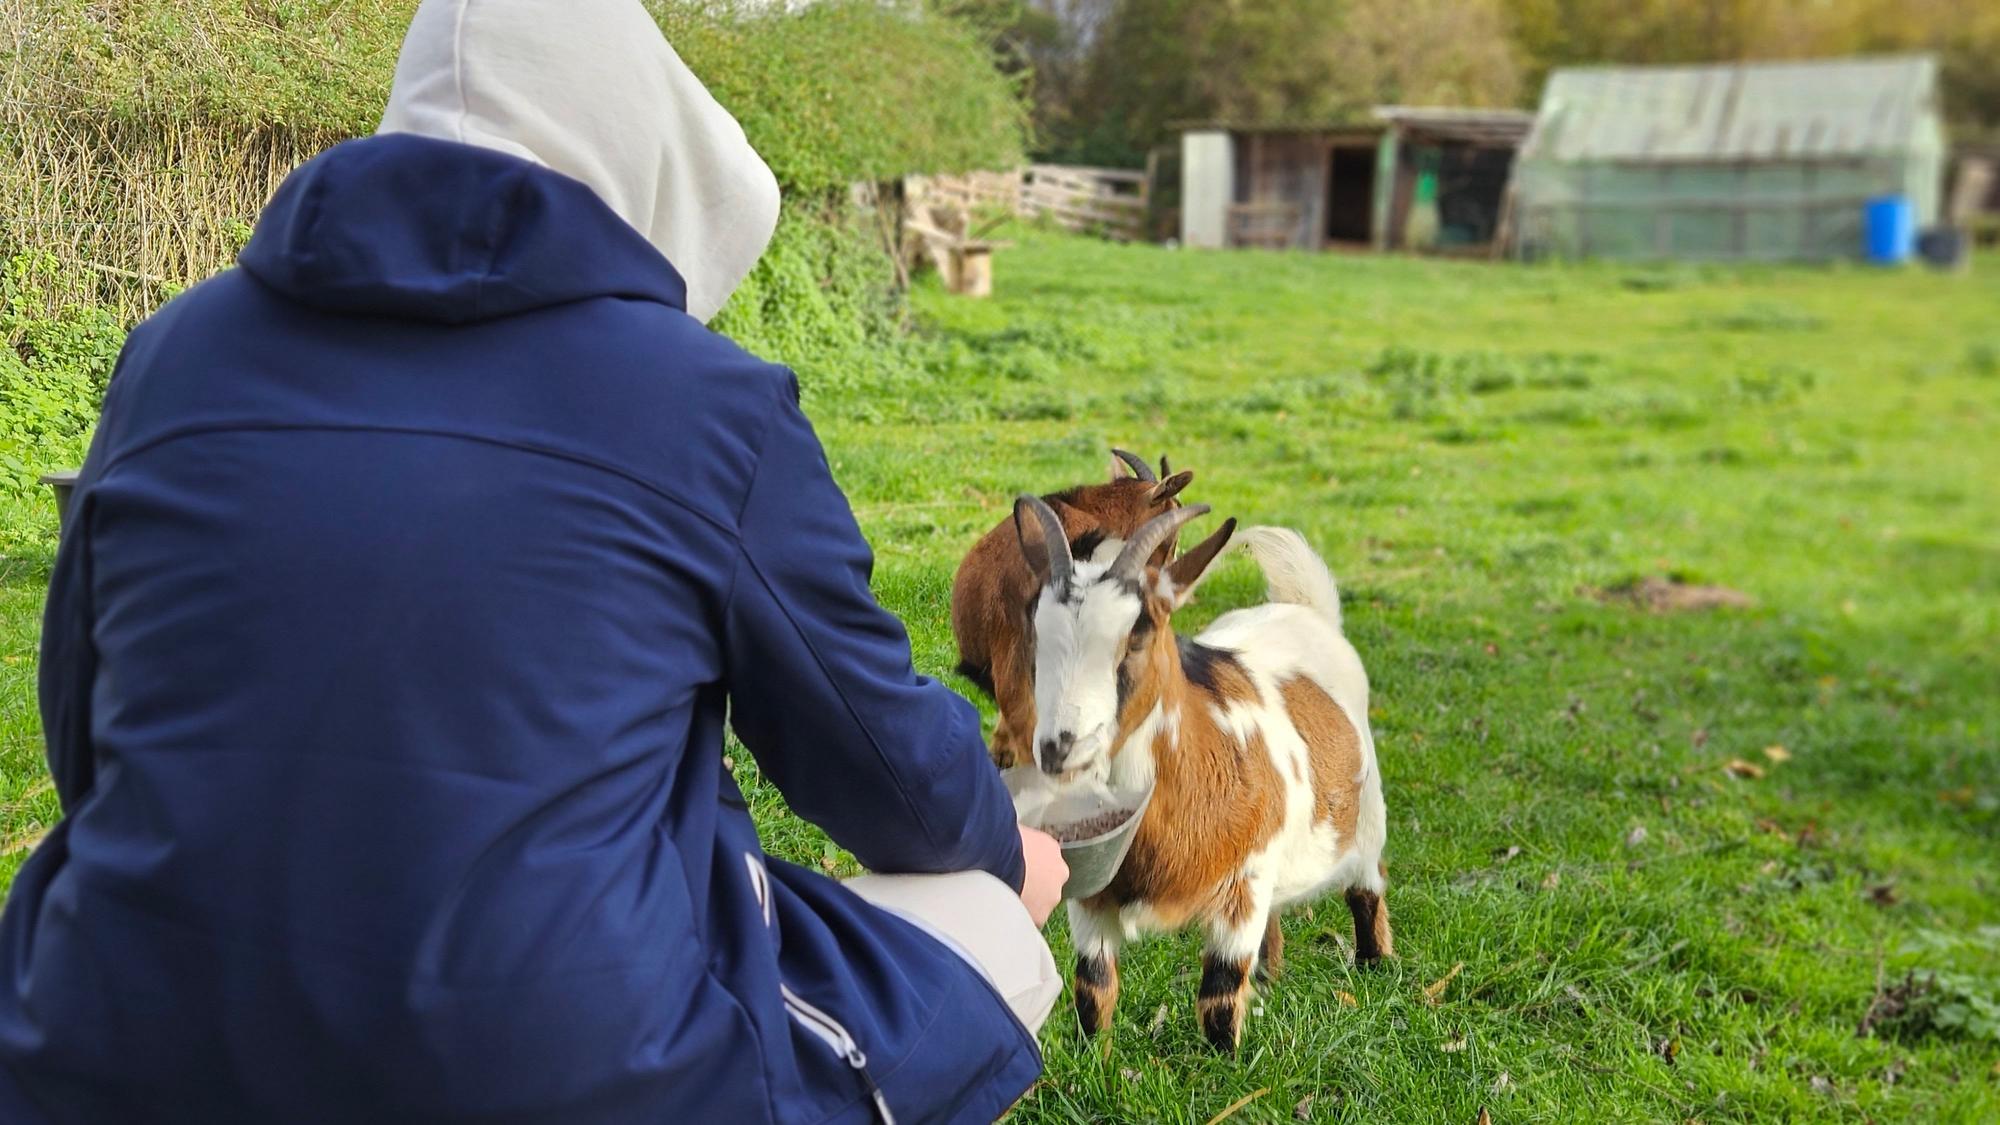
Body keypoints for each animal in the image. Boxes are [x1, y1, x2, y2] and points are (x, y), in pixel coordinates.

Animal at [1013, 496, 1391, 1053]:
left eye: (1139, 634)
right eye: (1037, 633)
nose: (1059, 747)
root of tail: (1305, 609)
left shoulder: (1245, 880)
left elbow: (1219, 992)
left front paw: (1224, 1063)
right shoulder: (1092, 898)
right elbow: (1092, 985)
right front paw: (1092, 1055)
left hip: (1367, 814)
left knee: (1366, 885)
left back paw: (1375, 966)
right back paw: (1269, 979)